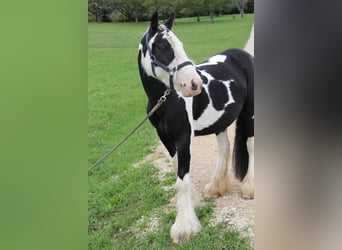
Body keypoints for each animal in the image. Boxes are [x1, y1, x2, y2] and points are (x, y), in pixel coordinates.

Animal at [137, 12, 254, 244]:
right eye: (162, 46)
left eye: (179, 44)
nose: (194, 84)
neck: (165, 100)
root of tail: (242, 55)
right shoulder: (166, 139)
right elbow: (177, 170)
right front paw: (196, 202)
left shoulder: (183, 139)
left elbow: (181, 180)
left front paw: (184, 228)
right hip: (220, 122)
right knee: (225, 149)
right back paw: (216, 187)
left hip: (251, 112)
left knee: (251, 145)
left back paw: (249, 188)